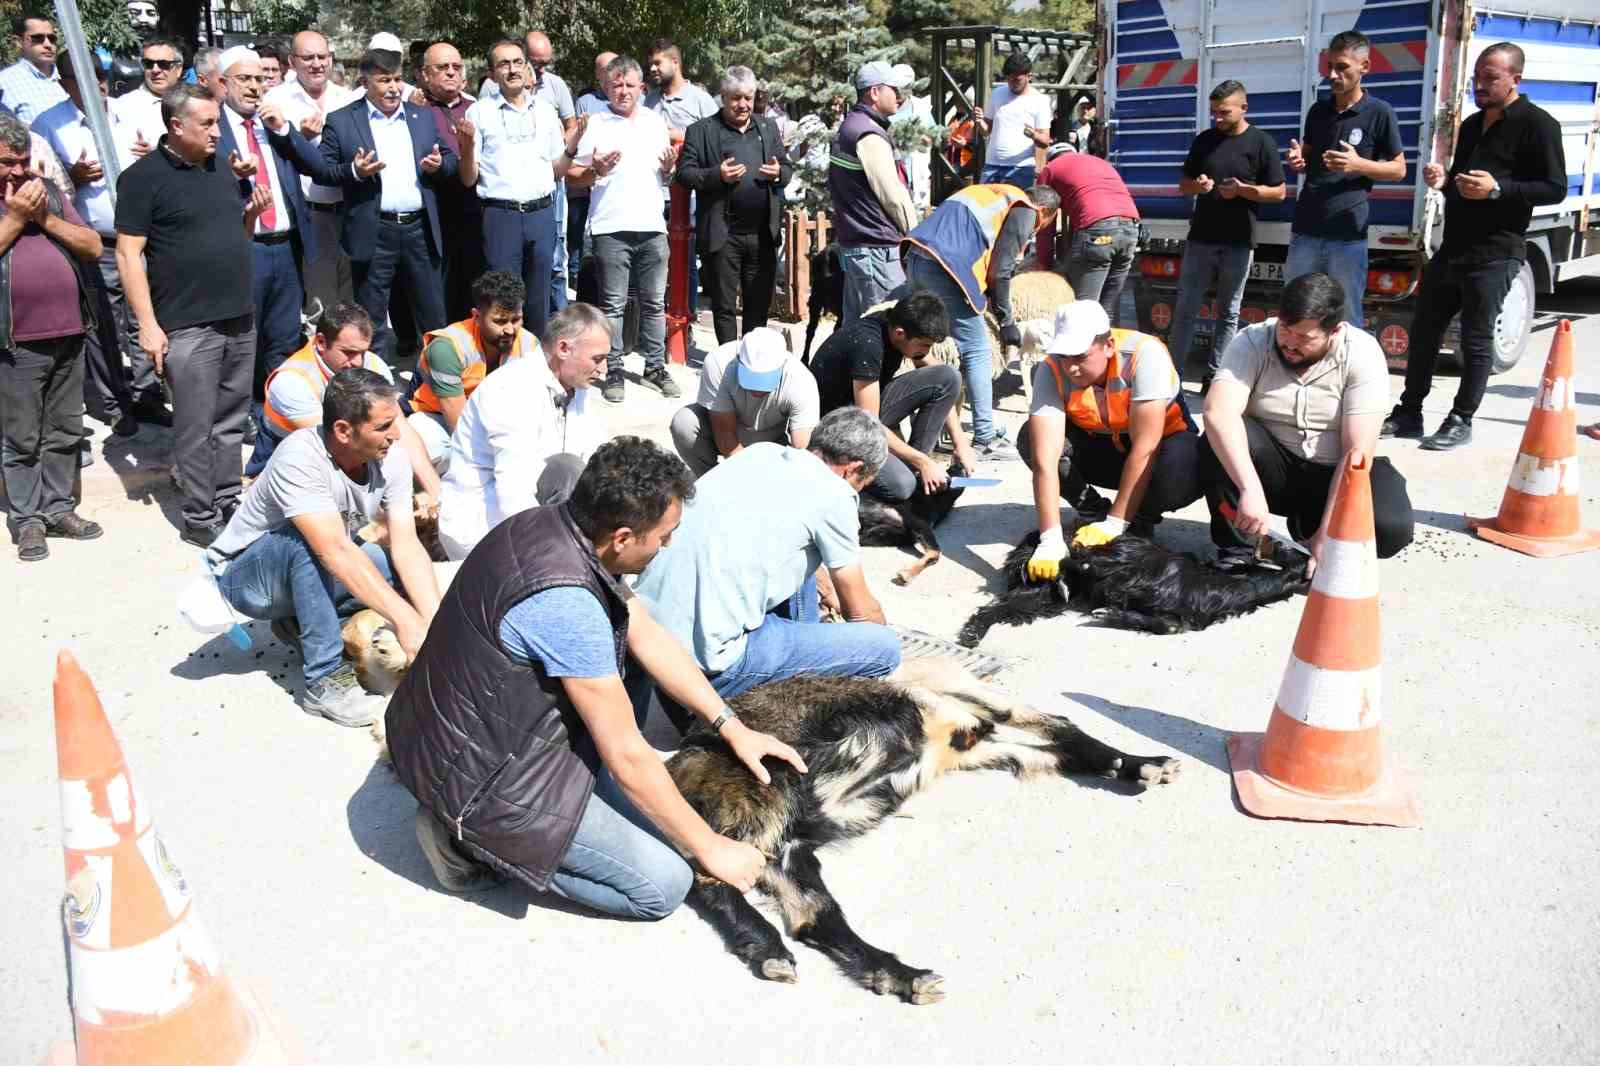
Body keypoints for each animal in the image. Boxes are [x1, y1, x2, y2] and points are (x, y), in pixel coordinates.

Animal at [662, 659, 1177, 998]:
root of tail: (678, 767)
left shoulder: (978, 745)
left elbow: (1059, 745)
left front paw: (1140, 765)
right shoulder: (971, 725)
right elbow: (1060, 728)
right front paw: (1142, 763)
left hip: (789, 846)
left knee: (813, 915)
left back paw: (896, 975)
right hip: (763, 796)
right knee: (710, 878)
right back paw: (775, 951)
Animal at [953, 528, 1305, 643]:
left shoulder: (1176, 618)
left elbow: (1169, 626)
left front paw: (1113, 615)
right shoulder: (1117, 558)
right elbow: (1083, 559)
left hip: (1041, 599)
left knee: (1003, 608)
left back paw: (973, 632)